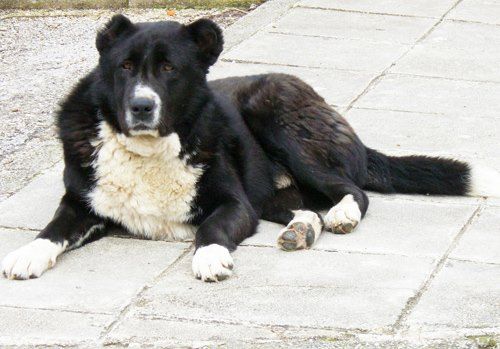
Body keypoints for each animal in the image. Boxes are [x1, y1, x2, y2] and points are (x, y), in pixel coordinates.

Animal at [1, 14, 498, 280]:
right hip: (272, 190)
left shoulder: (233, 204)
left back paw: (340, 215)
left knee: (352, 191)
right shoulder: (81, 202)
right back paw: (303, 229)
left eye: (169, 68)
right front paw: (29, 252)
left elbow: (210, 228)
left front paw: (210, 255)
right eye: (124, 67)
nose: (141, 106)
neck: (149, 149)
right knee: (305, 207)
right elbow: (55, 226)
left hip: (274, 113)